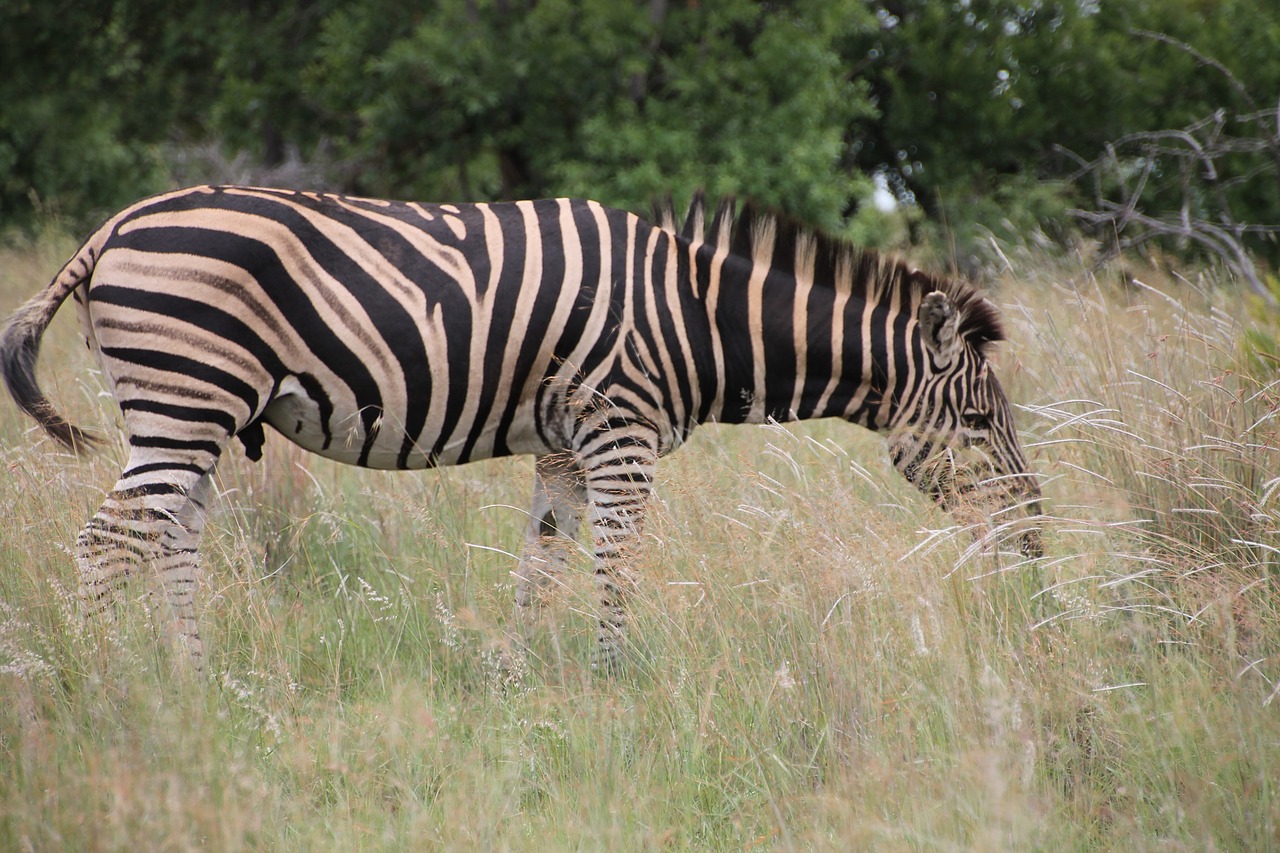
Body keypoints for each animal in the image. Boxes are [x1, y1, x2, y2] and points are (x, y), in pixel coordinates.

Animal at [0, 185, 1039, 671]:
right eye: (980, 419)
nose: (1033, 535)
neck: (699, 320)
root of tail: (113, 225)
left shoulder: (563, 447)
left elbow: (542, 562)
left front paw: (522, 673)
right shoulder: (620, 432)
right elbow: (616, 562)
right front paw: (617, 679)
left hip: (193, 414)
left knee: (169, 537)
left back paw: (195, 679)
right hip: (186, 397)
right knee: (108, 542)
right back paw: (106, 686)